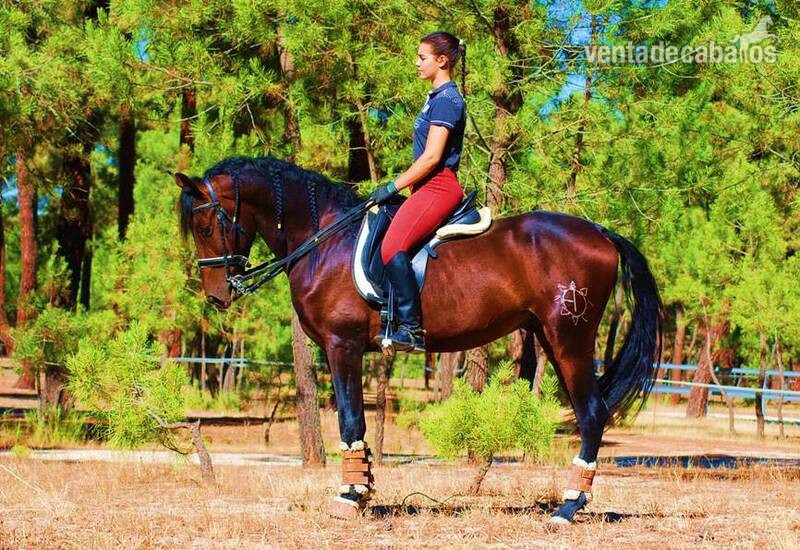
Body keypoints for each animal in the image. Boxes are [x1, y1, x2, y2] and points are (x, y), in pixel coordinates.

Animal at [175, 156, 663, 524]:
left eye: (205, 228)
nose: (217, 295)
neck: (323, 241)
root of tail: (601, 233)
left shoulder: (342, 345)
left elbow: (350, 420)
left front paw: (350, 495)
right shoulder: (344, 351)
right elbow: (357, 422)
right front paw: (364, 488)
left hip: (570, 338)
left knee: (593, 412)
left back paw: (568, 506)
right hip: (550, 337)